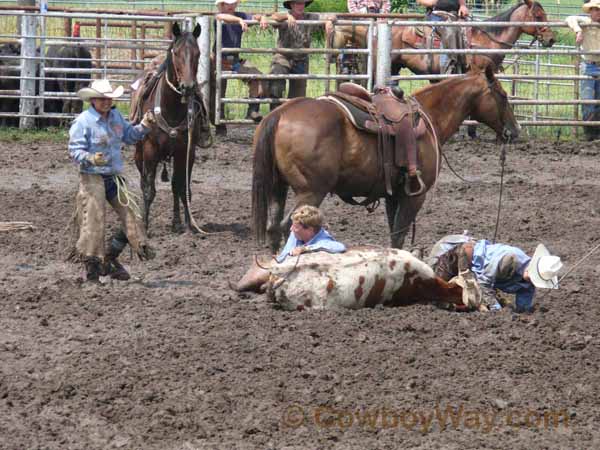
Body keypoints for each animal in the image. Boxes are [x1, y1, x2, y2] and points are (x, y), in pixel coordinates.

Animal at [132, 22, 209, 232]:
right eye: (176, 52)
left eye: (198, 53)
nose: (188, 87)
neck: (172, 108)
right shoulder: (150, 150)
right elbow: (149, 189)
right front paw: (144, 226)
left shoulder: (186, 152)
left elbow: (180, 187)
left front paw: (182, 223)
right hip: (139, 153)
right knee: (143, 180)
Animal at [253, 65, 520, 251]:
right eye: (503, 95)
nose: (514, 131)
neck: (429, 118)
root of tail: (280, 113)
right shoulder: (415, 195)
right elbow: (399, 234)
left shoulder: (393, 194)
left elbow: (394, 232)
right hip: (311, 191)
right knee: (289, 227)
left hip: (278, 187)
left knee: (273, 228)